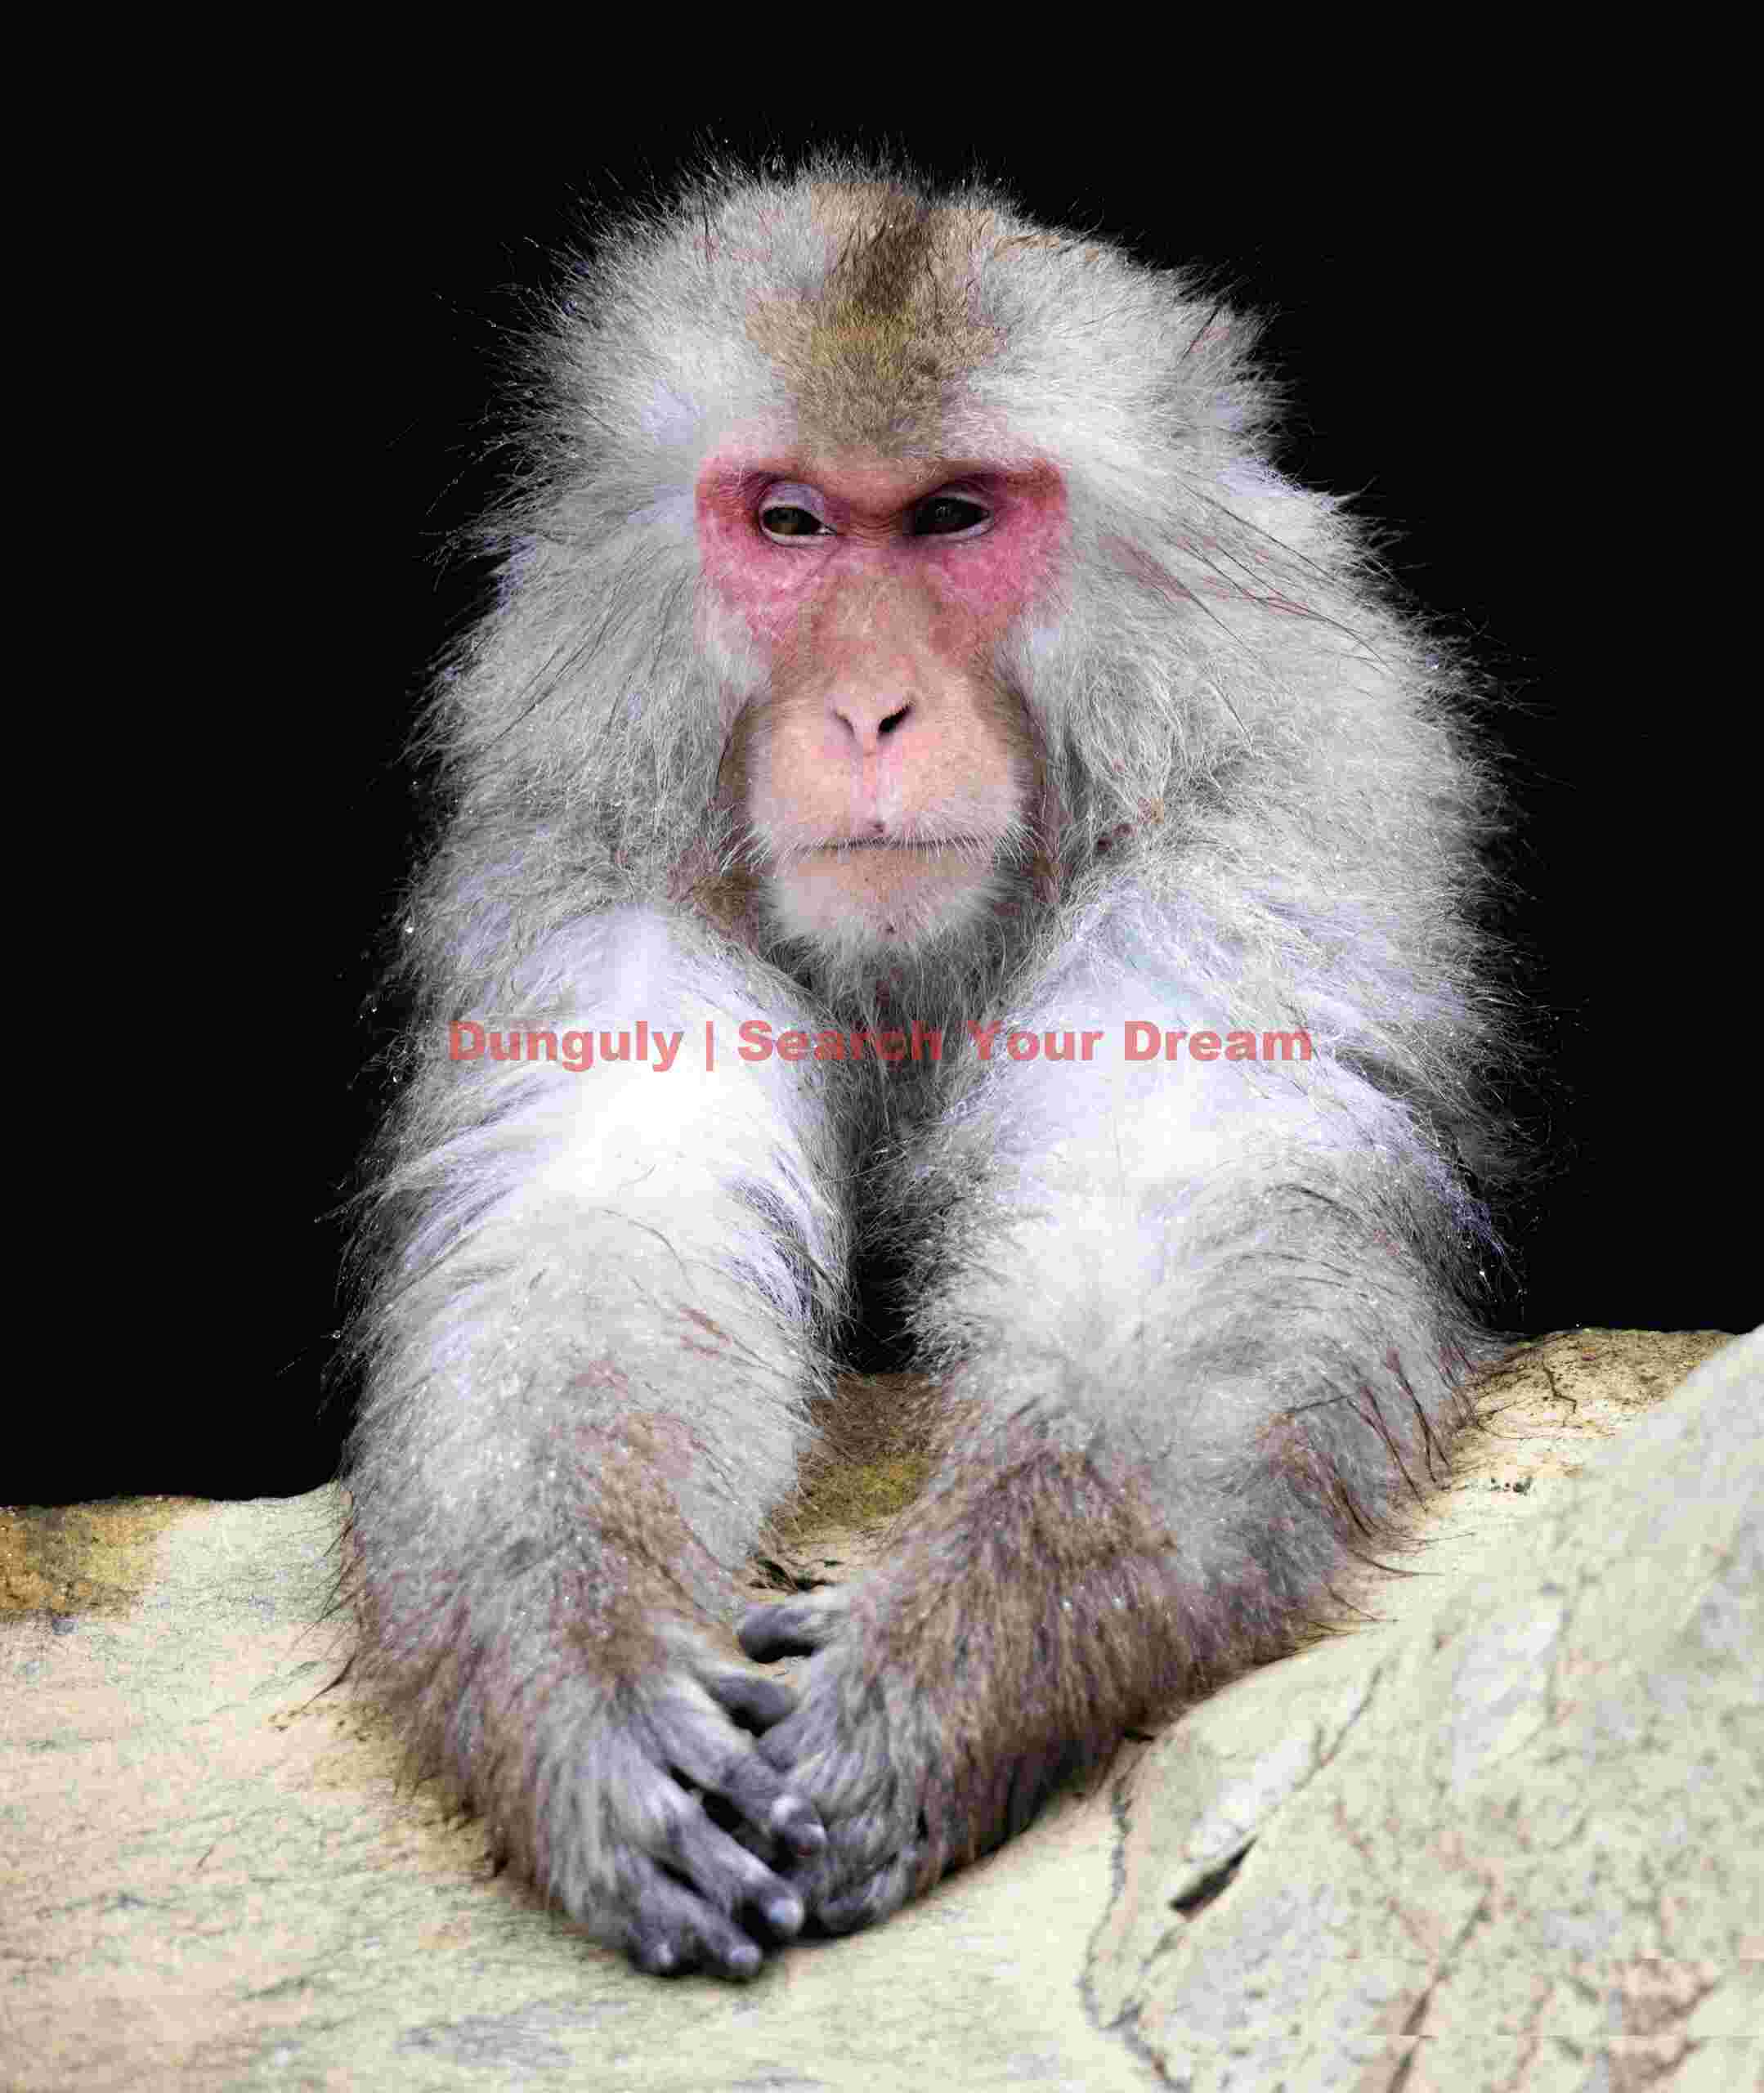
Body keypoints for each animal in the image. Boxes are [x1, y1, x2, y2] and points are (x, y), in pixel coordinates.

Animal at [347, 157, 1513, 1980]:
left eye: (954, 517)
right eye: (791, 523)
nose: (871, 714)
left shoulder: (1266, 792)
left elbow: (1183, 1207)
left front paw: (954, 1665)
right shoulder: (587, 826)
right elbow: (597, 1228)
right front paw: (580, 1685)